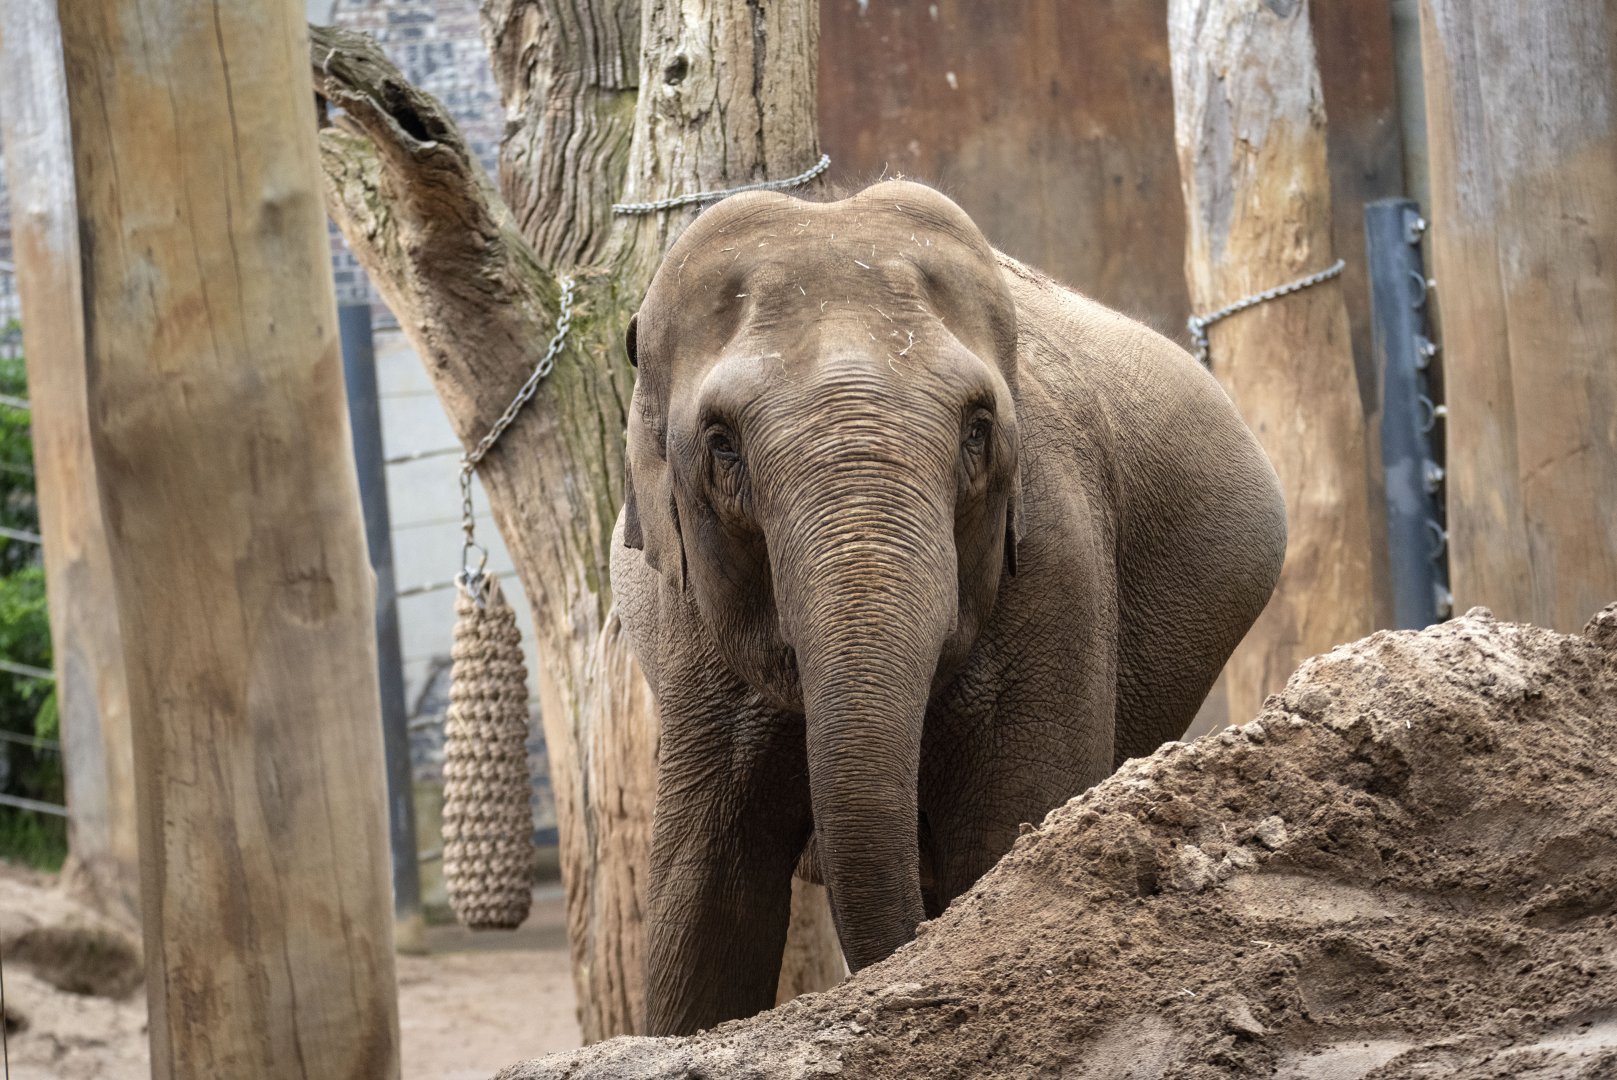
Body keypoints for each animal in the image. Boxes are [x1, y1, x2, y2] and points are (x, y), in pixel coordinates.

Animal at [610, 180, 1287, 1036]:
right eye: (721, 444)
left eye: (976, 430)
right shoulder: (686, 622)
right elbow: (704, 899)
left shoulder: (1057, 551)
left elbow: (1006, 831)